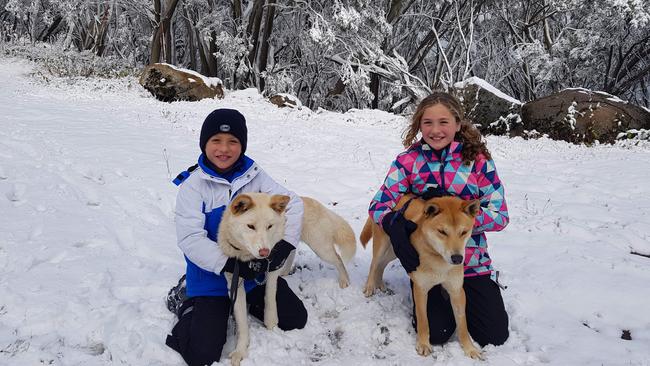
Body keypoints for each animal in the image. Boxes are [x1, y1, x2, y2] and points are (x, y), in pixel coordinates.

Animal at [218, 193, 354, 364]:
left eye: (269, 226)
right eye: (250, 226)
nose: (264, 251)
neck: (249, 258)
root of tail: (310, 201)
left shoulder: (271, 266)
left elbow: (270, 297)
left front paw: (271, 324)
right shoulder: (235, 282)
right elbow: (242, 323)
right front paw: (240, 351)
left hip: (321, 248)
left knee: (338, 259)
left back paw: (344, 280)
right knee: (293, 251)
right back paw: (285, 271)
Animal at [360, 196, 480, 358]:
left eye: (464, 232)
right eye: (442, 232)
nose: (457, 259)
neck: (438, 260)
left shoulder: (456, 291)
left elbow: (463, 325)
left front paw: (470, 348)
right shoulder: (421, 289)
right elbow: (423, 321)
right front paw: (423, 344)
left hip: (396, 250)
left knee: (381, 265)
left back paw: (381, 285)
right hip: (383, 246)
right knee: (374, 264)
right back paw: (370, 286)